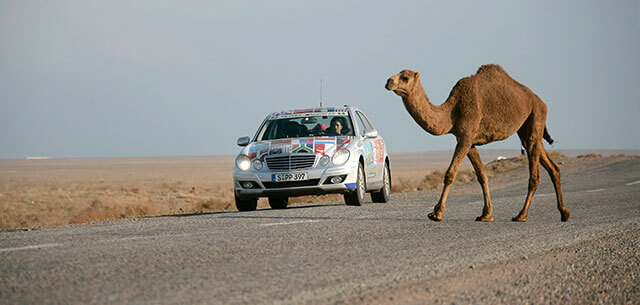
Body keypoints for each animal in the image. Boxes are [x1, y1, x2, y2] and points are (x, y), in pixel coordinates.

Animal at [384, 64, 568, 221]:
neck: (452, 111)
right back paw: (564, 212)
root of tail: (540, 100)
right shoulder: (469, 141)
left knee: (534, 171)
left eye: (405, 78)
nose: (388, 82)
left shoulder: (465, 137)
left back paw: (521, 215)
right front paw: (486, 214)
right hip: (526, 126)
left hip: (536, 113)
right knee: (550, 164)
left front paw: (436, 213)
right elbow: (482, 175)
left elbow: (450, 174)